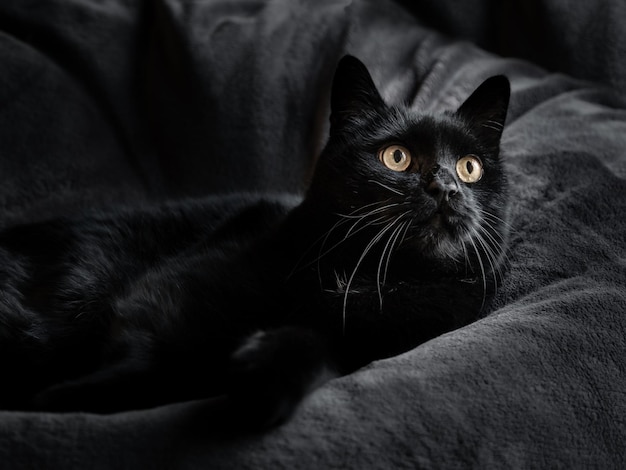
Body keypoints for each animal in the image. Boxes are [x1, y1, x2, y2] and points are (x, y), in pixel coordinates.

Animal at [0, 55, 510, 426]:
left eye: (469, 167)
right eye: (397, 157)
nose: (446, 188)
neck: (373, 279)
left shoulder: (362, 344)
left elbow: (313, 348)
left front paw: (264, 384)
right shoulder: (172, 290)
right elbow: (156, 354)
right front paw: (59, 399)